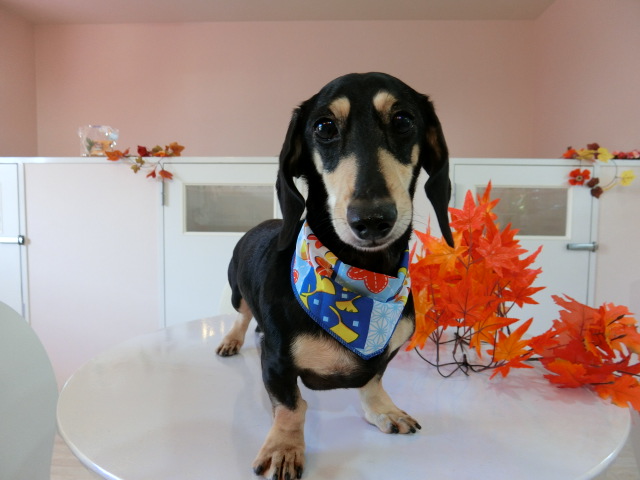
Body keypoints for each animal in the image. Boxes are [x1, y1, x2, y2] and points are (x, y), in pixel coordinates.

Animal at [216, 72, 454, 479]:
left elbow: (373, 380)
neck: (365, 276)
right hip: (236, 290)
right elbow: (292, 406)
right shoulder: (276, 360)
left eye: (403, 120)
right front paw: (284, 448)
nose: (372, 219)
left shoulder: (385, 354)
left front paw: (384, 410)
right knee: (243, 314)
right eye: (324, 127)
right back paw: (231, 339)